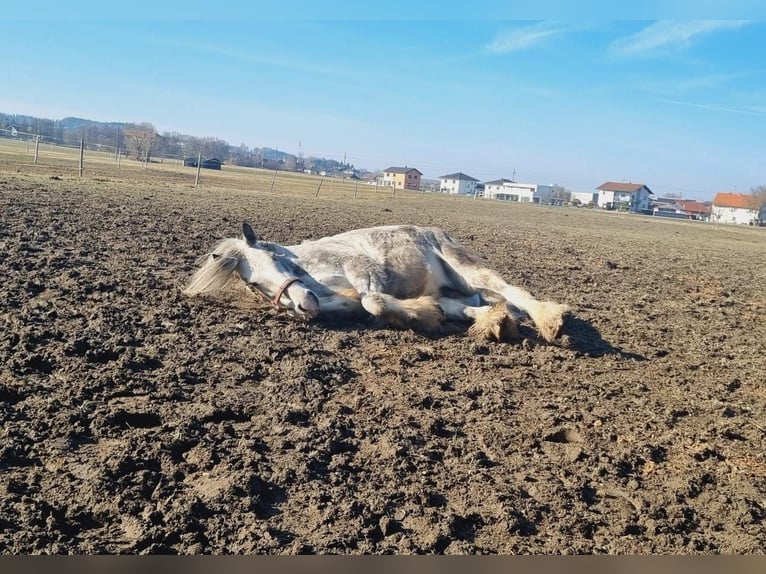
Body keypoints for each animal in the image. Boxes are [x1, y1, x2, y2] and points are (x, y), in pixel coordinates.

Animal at [184, 223, 570, 342]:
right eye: (255, 285)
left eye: (274, 261)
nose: (303, 304)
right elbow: (367, 305)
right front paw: (422, 312)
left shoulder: (362, 270)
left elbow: (373, 299)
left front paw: (418, 313)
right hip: (456, 292)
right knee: (468, 307)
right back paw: (497, 322)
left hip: (465, 267)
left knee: (508, 290)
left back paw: (548, 319)